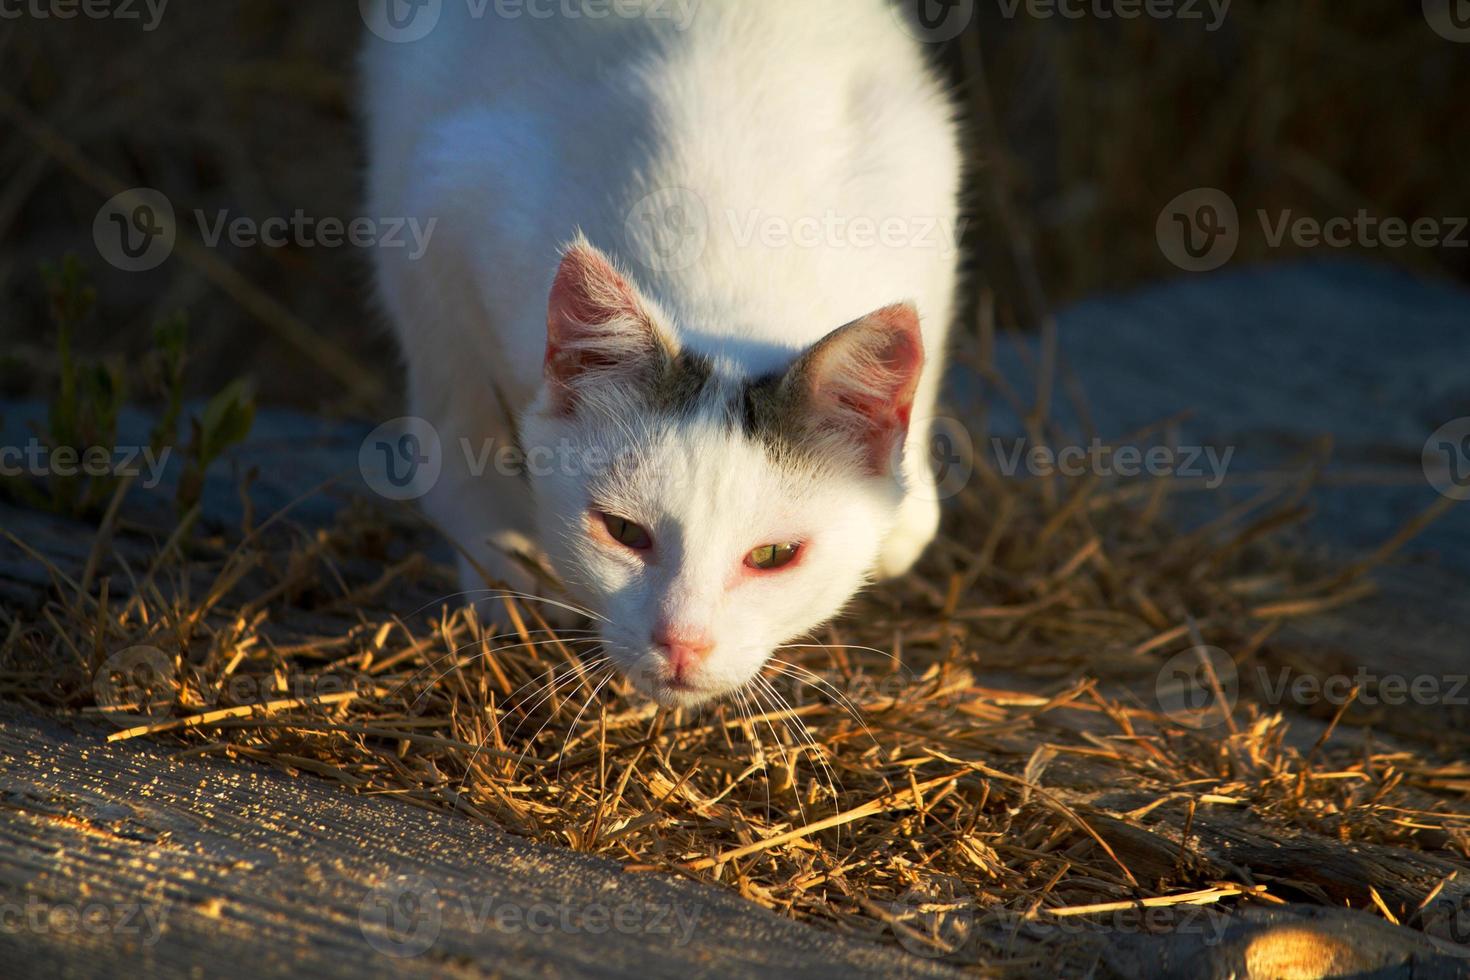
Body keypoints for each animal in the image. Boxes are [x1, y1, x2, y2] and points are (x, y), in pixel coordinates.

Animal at [364, 0, 964, 705]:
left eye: (774, 556)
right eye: (624, 532)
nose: (683, 641)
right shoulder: (445, 195)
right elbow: (459, 432)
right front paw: (504, 572)